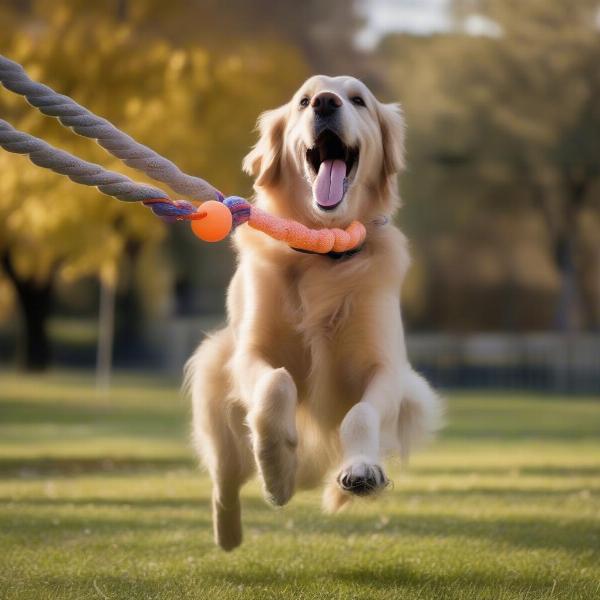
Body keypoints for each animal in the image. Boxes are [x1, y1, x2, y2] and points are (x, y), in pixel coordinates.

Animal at [185, 74, 442, 548]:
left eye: (358, 100)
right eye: (304, 101)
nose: (325, 102)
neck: (324, 254)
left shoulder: (387, 368)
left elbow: (361, 414)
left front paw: (361, 469)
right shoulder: (249, 353)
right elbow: (275, 384)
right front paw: (275, 469)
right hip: (214, 370)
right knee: (225, 479)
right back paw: (230, 532)